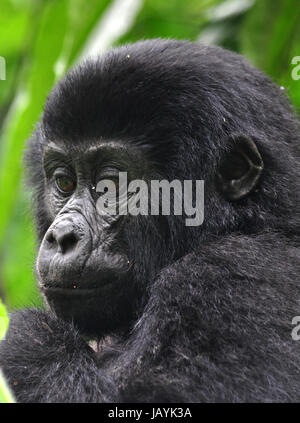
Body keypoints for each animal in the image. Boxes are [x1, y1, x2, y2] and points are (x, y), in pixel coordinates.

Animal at [0, 39, 300, 404]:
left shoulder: (230, 274)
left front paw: (24, 340)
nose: (61, 237)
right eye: (65, 182)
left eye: (110, 185)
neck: (258, 221)